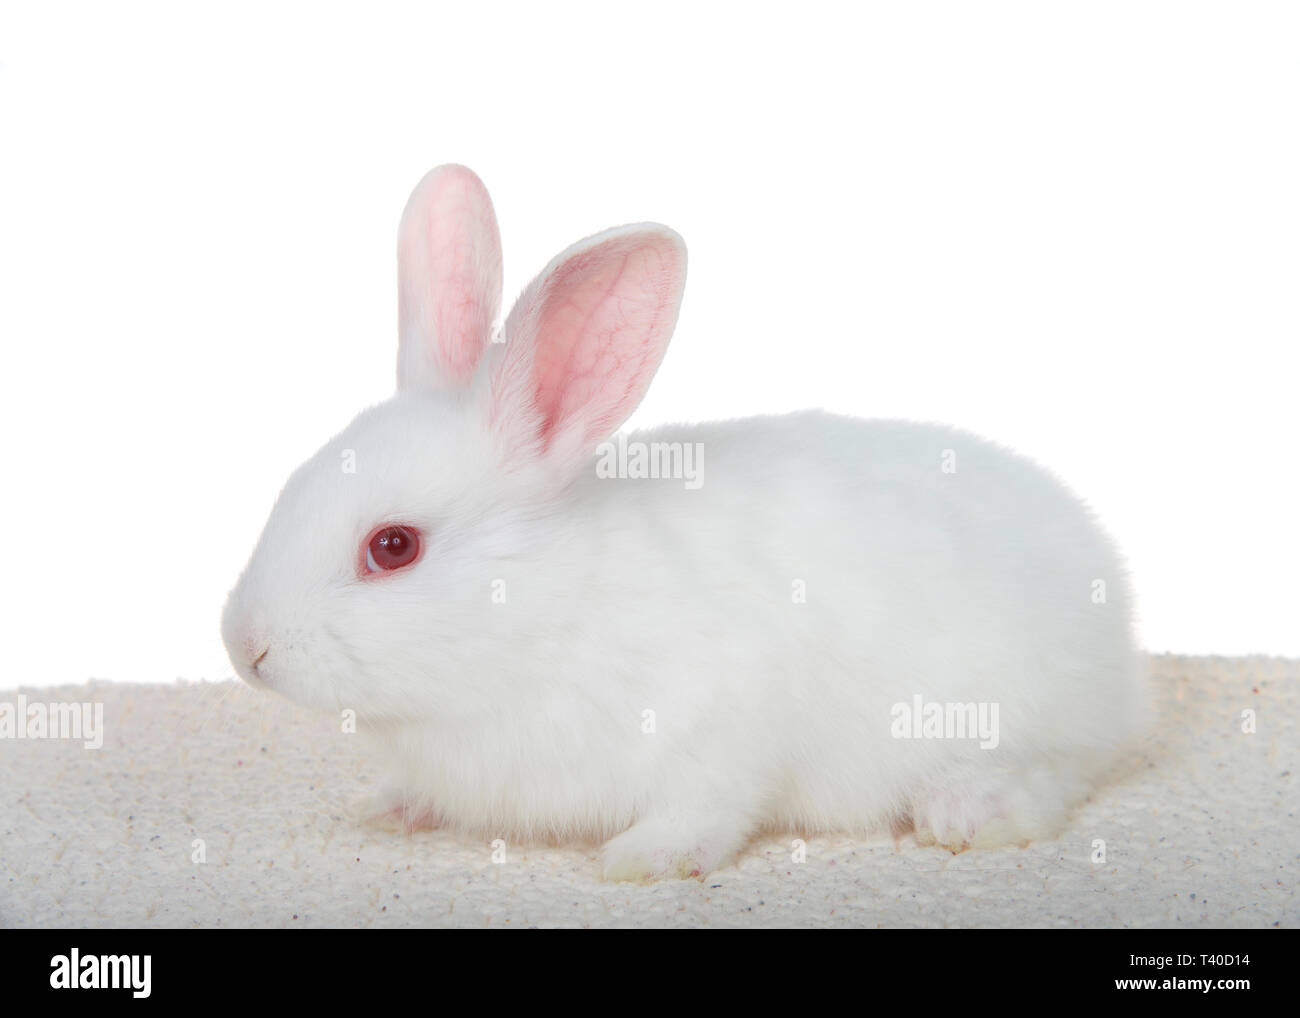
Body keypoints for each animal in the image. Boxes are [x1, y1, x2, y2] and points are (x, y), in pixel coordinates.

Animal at [221, 164, 1148, 881]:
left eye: (393, 547)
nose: (244, 647)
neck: (542, 609)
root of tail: (1108, 597)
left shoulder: (720, 730)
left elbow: (708, 807)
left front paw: (645, 860)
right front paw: (387, 806)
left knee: (1052, 780)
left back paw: (963, 810)